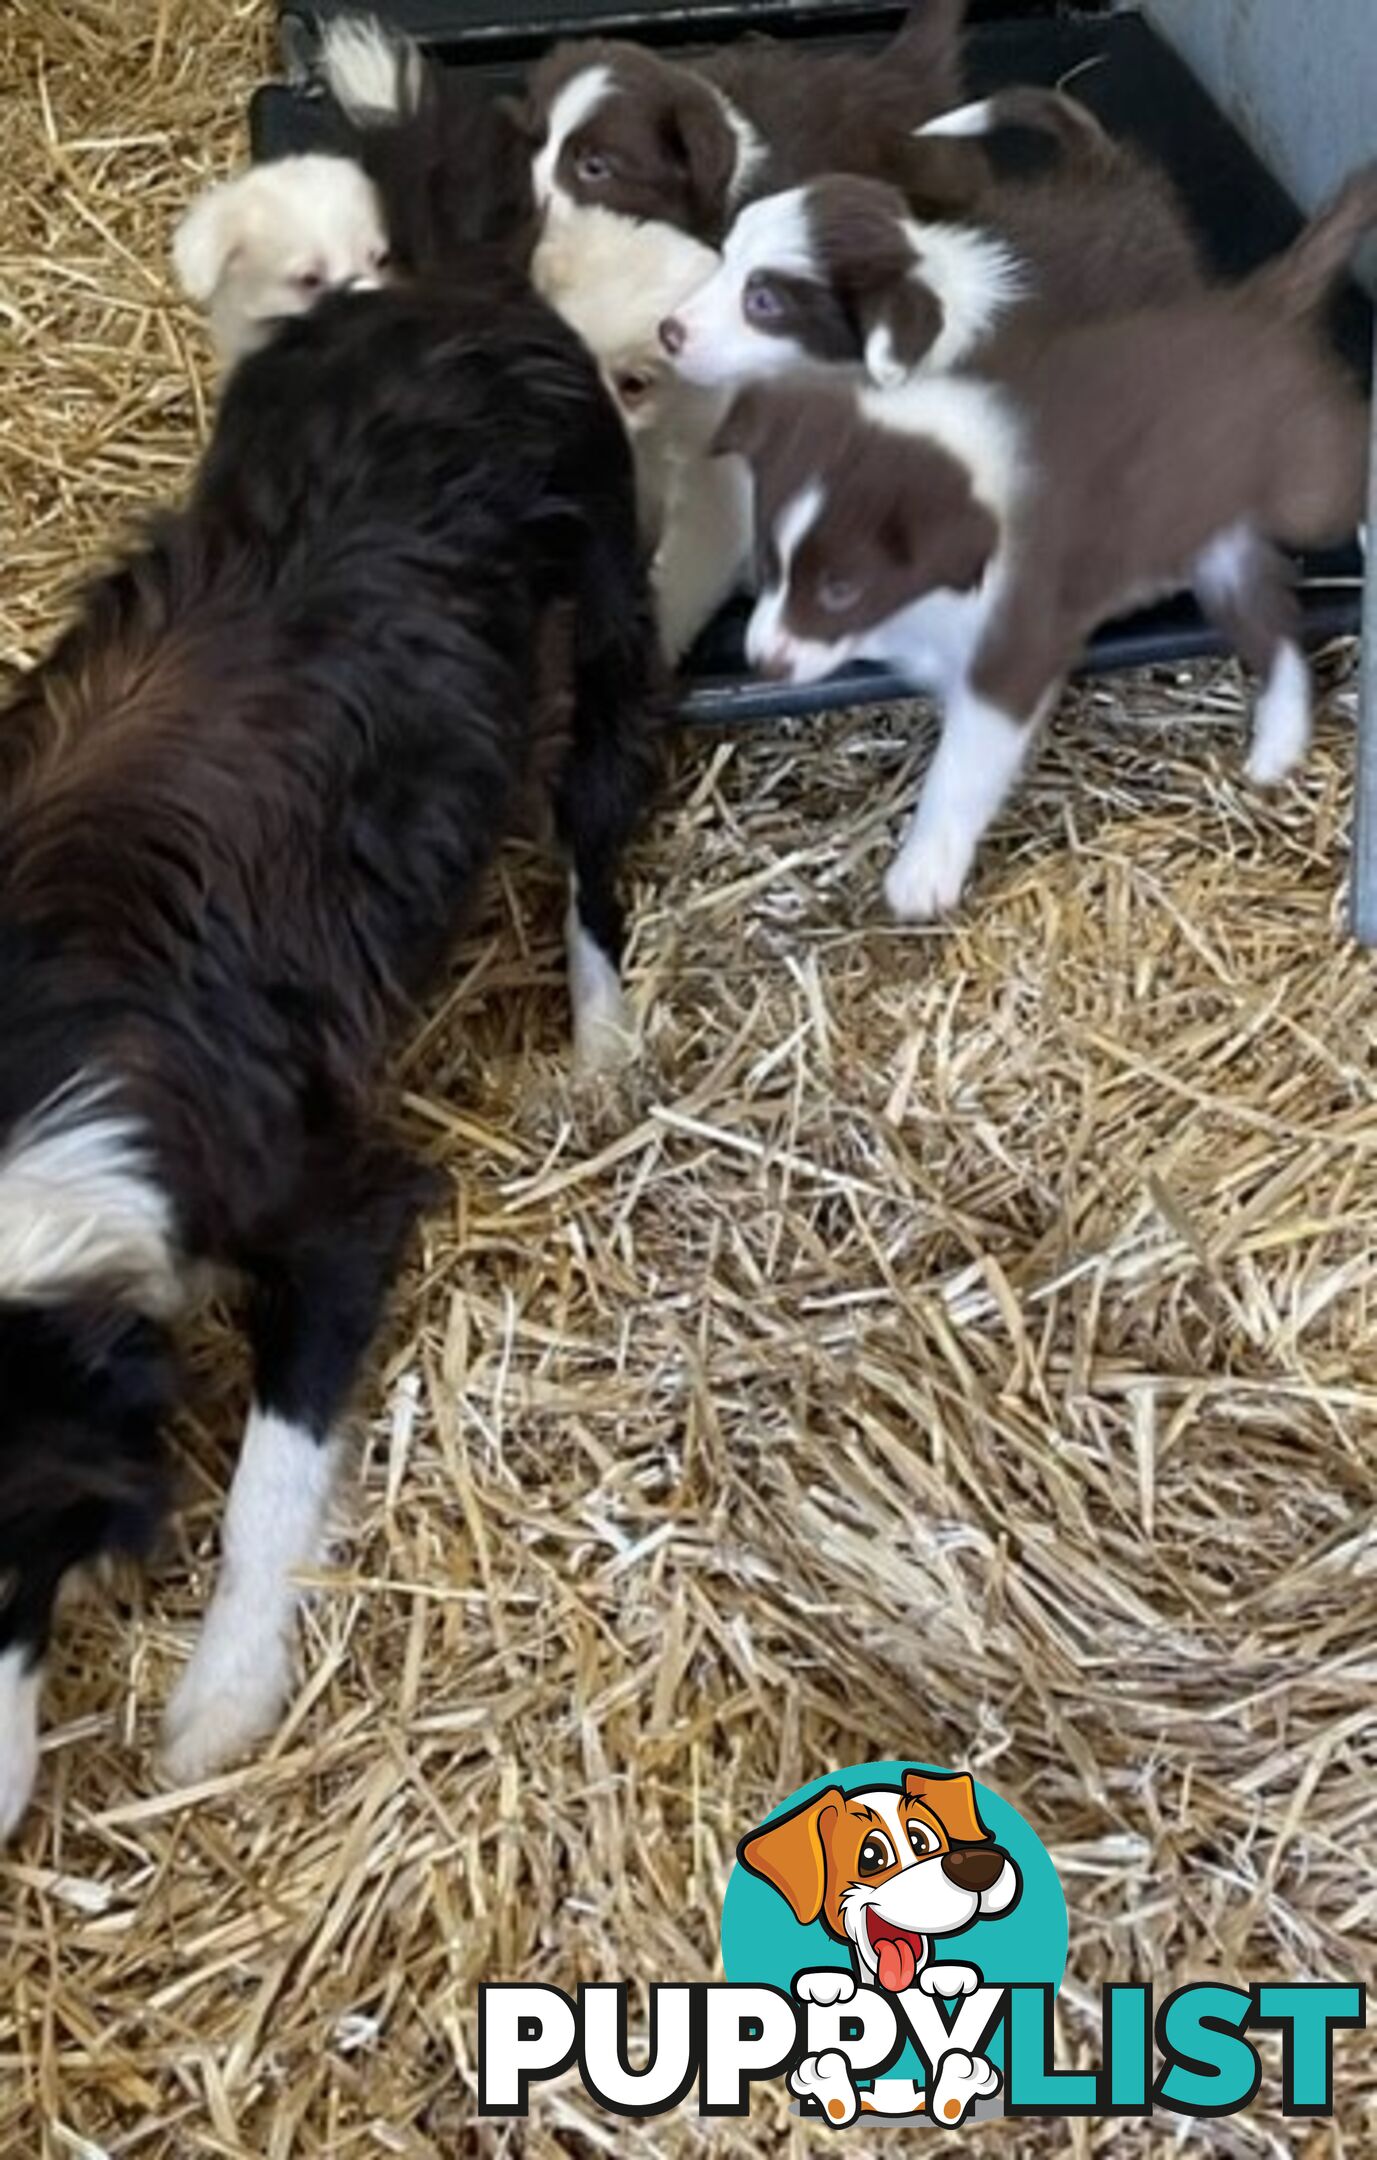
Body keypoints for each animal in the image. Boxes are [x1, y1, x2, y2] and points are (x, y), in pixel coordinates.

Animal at [725, 164, 1377, 911]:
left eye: (841, 588)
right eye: (770, 565)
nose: (762, 663)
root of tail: (1257, 306)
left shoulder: (1013, 649)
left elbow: (960, 768)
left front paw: (924, 870)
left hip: (1303, 487)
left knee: (1348, 461)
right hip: (1217, 543)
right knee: (1272, 622)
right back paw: (1278, 739)